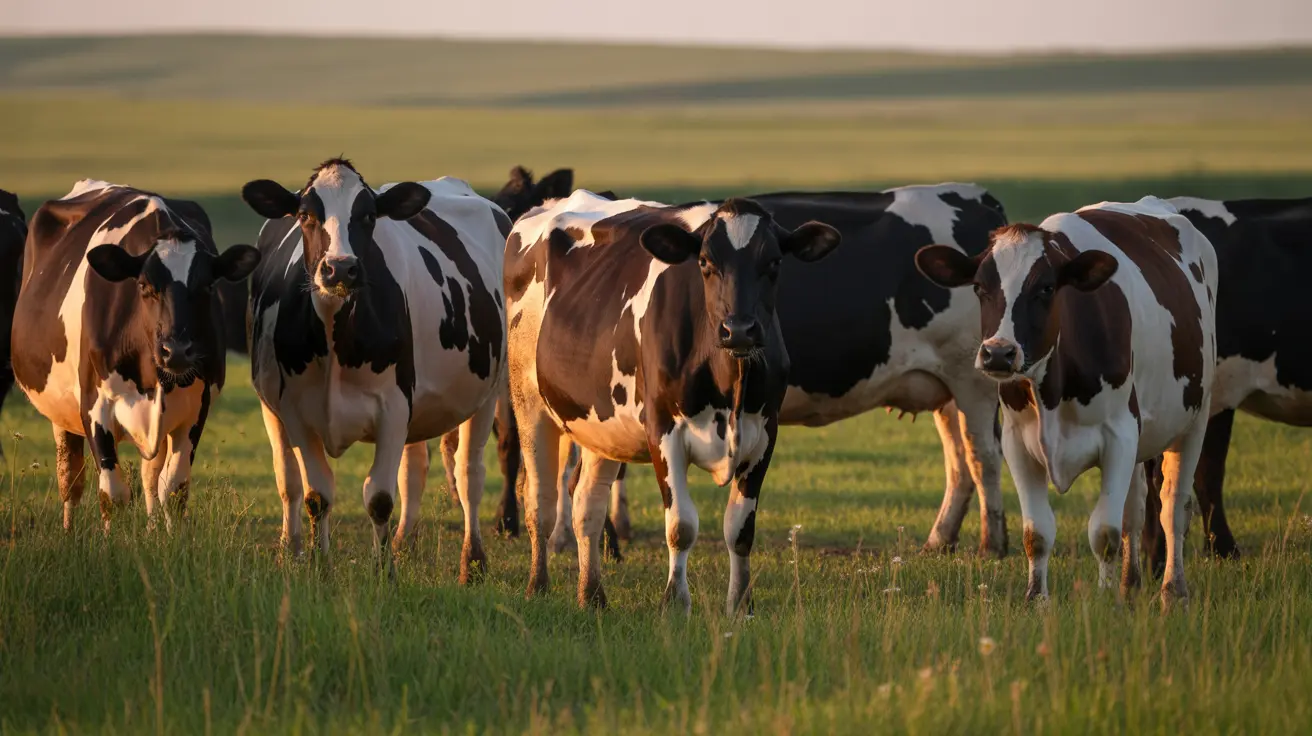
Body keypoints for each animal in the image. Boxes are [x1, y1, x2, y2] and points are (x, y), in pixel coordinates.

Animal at [12, 180, 259, 531]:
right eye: (143, 286)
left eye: (208, 287)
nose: (177, 350)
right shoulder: (95, 407)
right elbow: (112, 494)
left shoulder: (195, 408)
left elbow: (173, 489)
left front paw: (170, 539)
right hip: (59, 409)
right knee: (70, 477)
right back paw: (69, 530)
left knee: (150, 476)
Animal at [240, 159, 507, 582]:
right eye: (305, 214)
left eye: (367, 216)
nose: (340, 269)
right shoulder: (295, 412)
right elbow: (317, 494)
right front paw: (319, 567)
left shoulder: (394, 407)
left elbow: (380, 497)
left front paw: (385, 575)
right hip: (274, 410)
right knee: (295, 479)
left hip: (488, 390)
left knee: (469, 474)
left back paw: (473, 563)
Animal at [506, 191, 841, 611]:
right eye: (705, 263)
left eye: (774, 262)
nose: (739, 330)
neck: (730, 383)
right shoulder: (663, 430)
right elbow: (681, 525)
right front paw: (675, 603)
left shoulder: (765, 433)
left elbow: (740, 530)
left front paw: (740, 606)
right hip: (528, 401)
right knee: (540, 502)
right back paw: (537, 585)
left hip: (602, 425)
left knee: (587, 506)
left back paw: (592, 595)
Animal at [541, 185, 1012, 559]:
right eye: (706, 262)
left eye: (773, 263)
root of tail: (977, 197)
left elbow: (571, 469)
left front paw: (577, 539)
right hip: (947, 389)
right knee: (959, 459)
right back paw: (941, 539)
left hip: (974, 378)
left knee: (983, 455)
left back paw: (993, 545)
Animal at [916, 197, 1217, 604]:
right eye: (979, 287)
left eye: (1046, 288)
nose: (998, 354)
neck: (1052, 392)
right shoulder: (1017, 442)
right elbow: (1037, 533)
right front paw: (1035, 598)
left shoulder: (1119, 435)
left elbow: (1104, 532)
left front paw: (1106, 600)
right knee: (1135, 510)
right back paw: (1130, 582)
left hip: (1195, 419)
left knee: (1174, 508)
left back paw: (1174, 590)